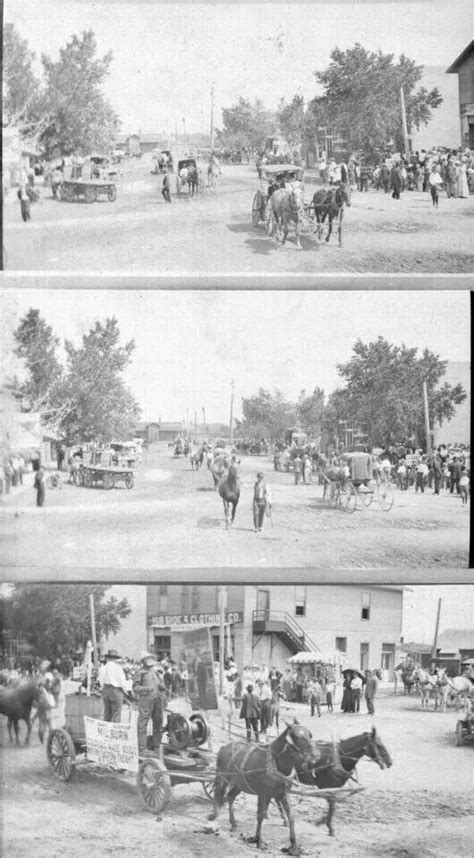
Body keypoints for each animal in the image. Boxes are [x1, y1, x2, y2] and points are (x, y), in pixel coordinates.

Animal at [208, 720, 316, 852]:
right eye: (296, 736)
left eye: (310, 735)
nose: (315, 755)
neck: (276, 763)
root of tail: (224, 747)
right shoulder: (263, 794)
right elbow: (260, 816)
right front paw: (259, 841)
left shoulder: (283, 793)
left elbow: (291, 816)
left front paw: (294, 846)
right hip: (223, 777)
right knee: (218, 793)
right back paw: (213, 815)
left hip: (239, 784)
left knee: (230, 797)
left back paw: (233, 824)